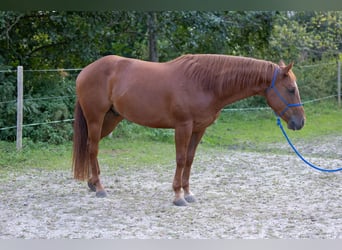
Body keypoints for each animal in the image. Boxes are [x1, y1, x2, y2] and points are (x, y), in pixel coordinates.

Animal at [72, 53, 304, 206]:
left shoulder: (199, 129)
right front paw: (178, 196)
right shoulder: (183, 127)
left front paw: (188, 193)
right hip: (96, 119)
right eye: (291, 89)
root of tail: (84, 72)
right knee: (93, 148)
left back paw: (92, 183)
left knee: (91, 146)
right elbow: (181, 159)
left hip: (111, 119)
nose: (300, 122)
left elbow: (190, 159)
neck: (204, 83)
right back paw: (100, 189)